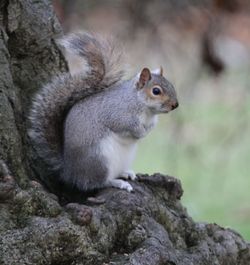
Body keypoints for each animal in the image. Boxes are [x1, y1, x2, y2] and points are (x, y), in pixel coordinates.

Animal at [28, 32, 178, 192]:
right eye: (156, 91)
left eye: (171, 85)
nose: (175, 105)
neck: (145, 109)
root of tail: (70, 171)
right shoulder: (118, 114)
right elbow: (126, 125)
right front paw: (140, 132)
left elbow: (151, 126)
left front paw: (147, 131)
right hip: (99, 160)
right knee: (96, 182)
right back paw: (117, 182)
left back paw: (125, 173)